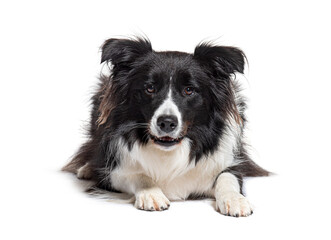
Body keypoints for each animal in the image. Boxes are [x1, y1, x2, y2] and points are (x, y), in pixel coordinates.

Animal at [63, 36, 270, 218]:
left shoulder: (228, 164)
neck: (170, 151)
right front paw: (151, 193)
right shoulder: (111, 174)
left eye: (189, 90)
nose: (167, 123)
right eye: (150, 88)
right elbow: (135, 174)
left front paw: (235, 200)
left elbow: (227, 177)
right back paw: (86, 168)